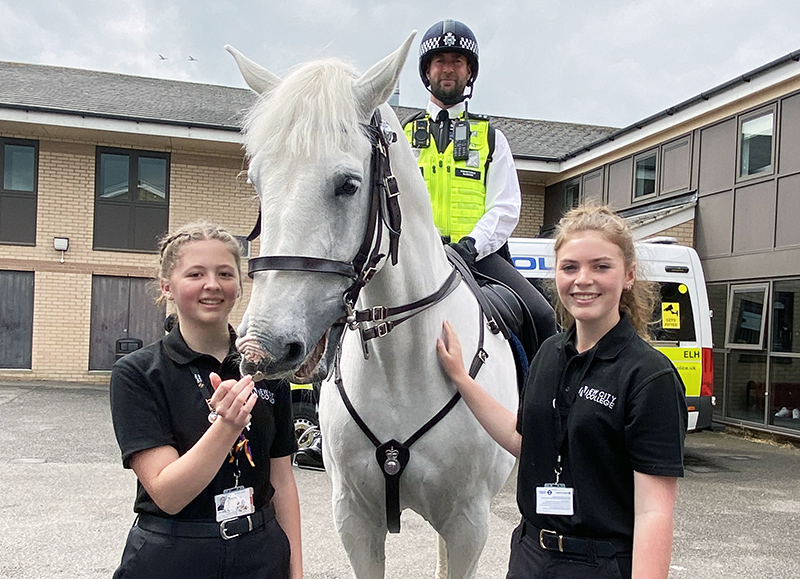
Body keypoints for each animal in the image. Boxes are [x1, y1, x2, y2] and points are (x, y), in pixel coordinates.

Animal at [228, 32, 520, 579]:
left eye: (348, 184)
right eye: (258, 181)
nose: (261, 350)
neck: (402, 369)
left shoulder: (469, 525)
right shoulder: (355, 519)